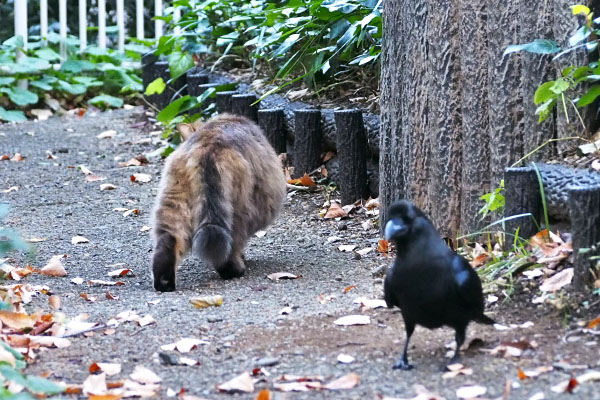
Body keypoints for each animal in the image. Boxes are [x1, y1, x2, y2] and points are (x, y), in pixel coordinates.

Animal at [152, 114, 288, 292]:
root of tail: (206, 148)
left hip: (173, 205)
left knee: (167, 242)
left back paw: (164, 283)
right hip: (239, 210)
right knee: (231, 244)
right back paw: (235, 270)